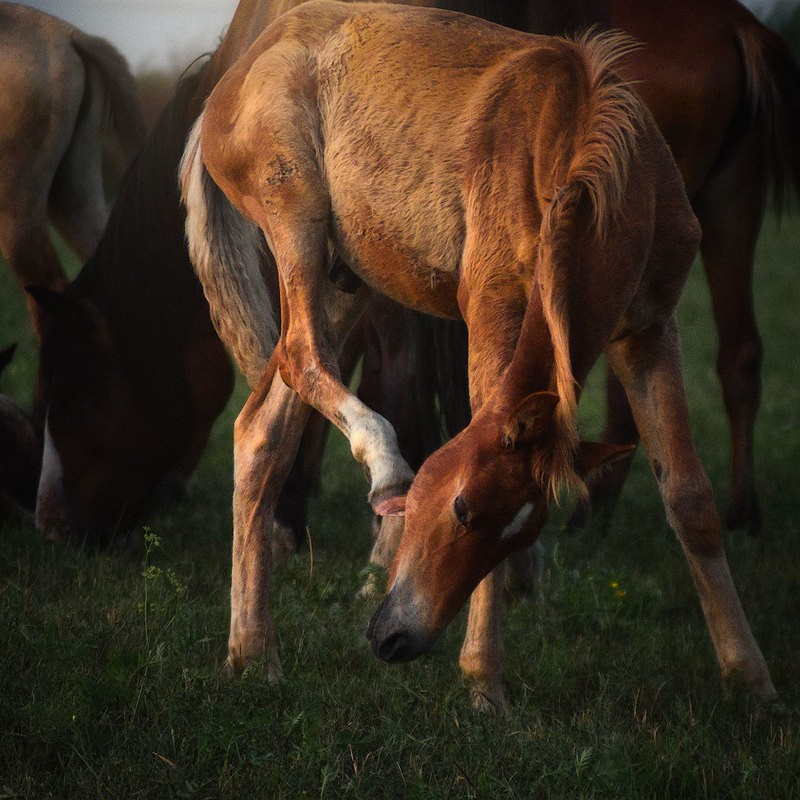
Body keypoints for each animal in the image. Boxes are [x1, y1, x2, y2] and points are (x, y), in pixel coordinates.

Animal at [181, 0, 776, 704]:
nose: (396, 640)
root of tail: (230, 76)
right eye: (462, 509)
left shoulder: (648, 331)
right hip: (296, 218)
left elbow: (689, 498)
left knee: (261, 430)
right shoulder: (493, 308)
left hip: (344, 279)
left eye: (527, 529)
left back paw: (253, 655)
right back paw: (386, 471)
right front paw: (484, 681)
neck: (582, 159)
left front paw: (752, 680)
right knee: (303, 358)